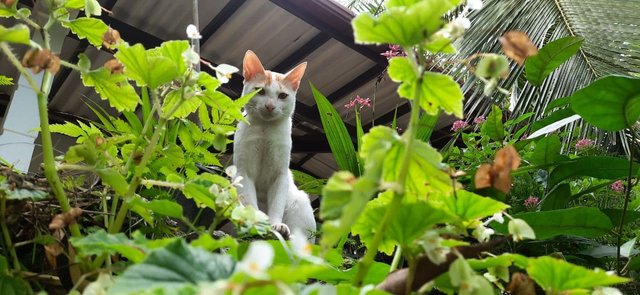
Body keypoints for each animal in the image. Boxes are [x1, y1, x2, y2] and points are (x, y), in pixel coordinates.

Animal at [234, 49, 316, 242]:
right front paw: (258, 223)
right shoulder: (243, 172)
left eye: (282, 96)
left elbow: (276, 205)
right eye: (260, 91)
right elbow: (252, 203)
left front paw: (276, 225)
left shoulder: (280, 175)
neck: (265, 130)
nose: (270, 106)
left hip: (300, 204)